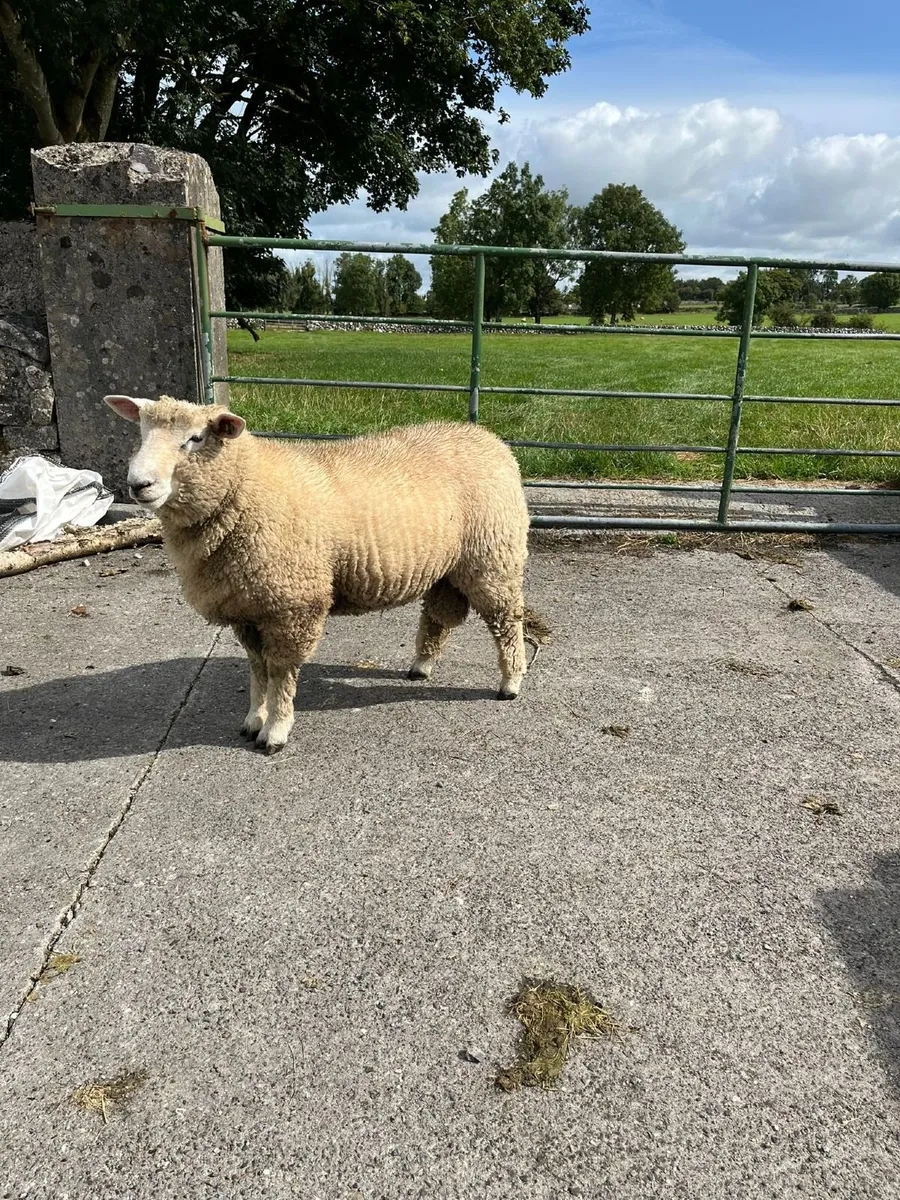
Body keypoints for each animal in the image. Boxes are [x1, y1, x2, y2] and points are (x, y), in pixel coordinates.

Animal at [104, 394, 547, 753]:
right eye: (141, 432)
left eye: (195, 438)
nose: (138, 485)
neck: (243, 488)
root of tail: (491, 439)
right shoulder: (249, 608)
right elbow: (257, 668)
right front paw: (253, 719)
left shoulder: (292, 605)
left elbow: (280, 673)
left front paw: (275, 731)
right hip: (448, 568)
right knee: (439, 616)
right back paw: (421, 666)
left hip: (494, 558)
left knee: (507, 621)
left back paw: (511, 682)